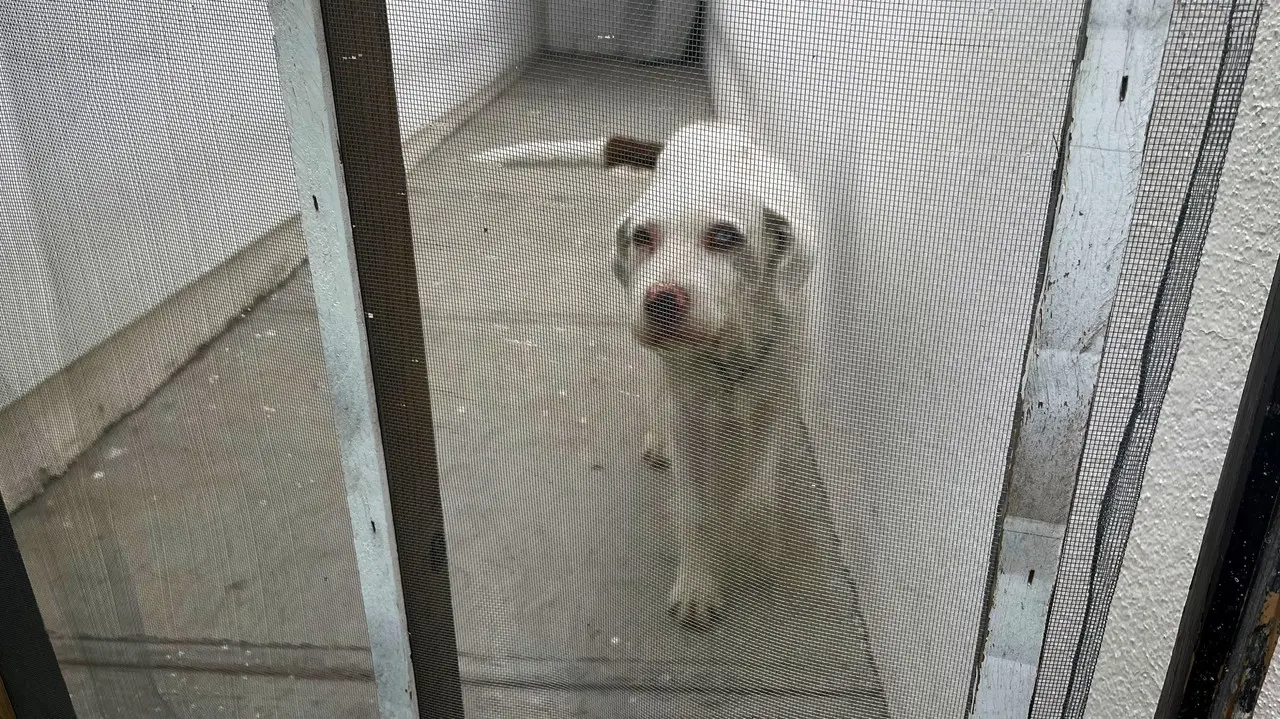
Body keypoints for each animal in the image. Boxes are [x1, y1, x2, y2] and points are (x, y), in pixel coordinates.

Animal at [473, 121, 819, 621]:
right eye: (642, 237)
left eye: (725, 236)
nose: (660, 302)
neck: (729, 343)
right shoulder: (689, 411)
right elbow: (694, 507)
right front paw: (697, 583)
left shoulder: (778, 401)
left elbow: (757, 491)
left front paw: (753, 537)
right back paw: (660, 438)